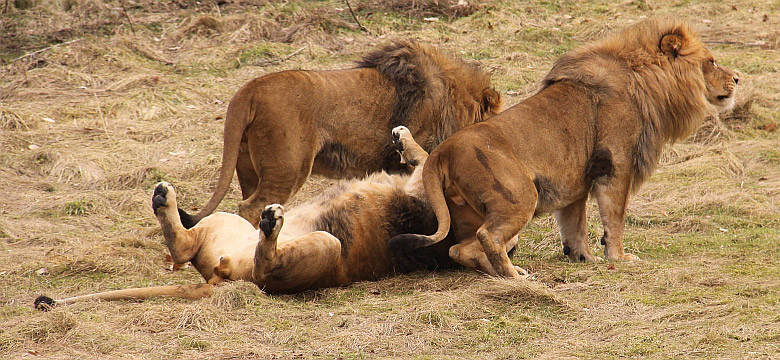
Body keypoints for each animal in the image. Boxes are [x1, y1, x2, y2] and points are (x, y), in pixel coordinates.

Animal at [388, 19, 736, 278]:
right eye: (711, 62)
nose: (736, 78)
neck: (646, 82)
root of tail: (442, 153)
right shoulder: (616, 163)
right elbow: (614, 217)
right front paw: (619, 258)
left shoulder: (575, 183)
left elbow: (574, 224)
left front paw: (583, 258)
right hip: (520, 194)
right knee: (488, 237)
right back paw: (515, 277)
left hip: (469, 210)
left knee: (459, 248)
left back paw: (510, 272)